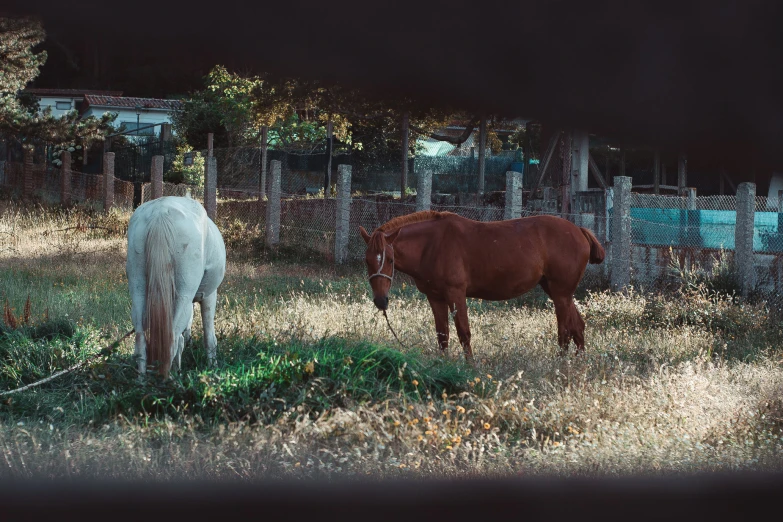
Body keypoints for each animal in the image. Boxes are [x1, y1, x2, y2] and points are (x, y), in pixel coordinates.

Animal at [124, 193, 225, 376]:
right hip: (184, 295)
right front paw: (213, 367)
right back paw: (169, 378)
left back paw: (141, 379)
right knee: (172, 340)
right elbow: (209, 337)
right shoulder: (209, 295)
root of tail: (161, 212)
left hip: (138, 291)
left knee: (141, 340)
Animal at [362, 210, 608, 362]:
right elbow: (442, 335)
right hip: (559, 292)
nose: (381, 300)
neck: (432, 245)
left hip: (560, 293)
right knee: (577, 327)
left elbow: (463, 332)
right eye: (367, 261)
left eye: (390, 260)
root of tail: (579, 230)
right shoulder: (435, 297)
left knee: (564, 331)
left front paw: (470, 366)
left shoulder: (456, 294)